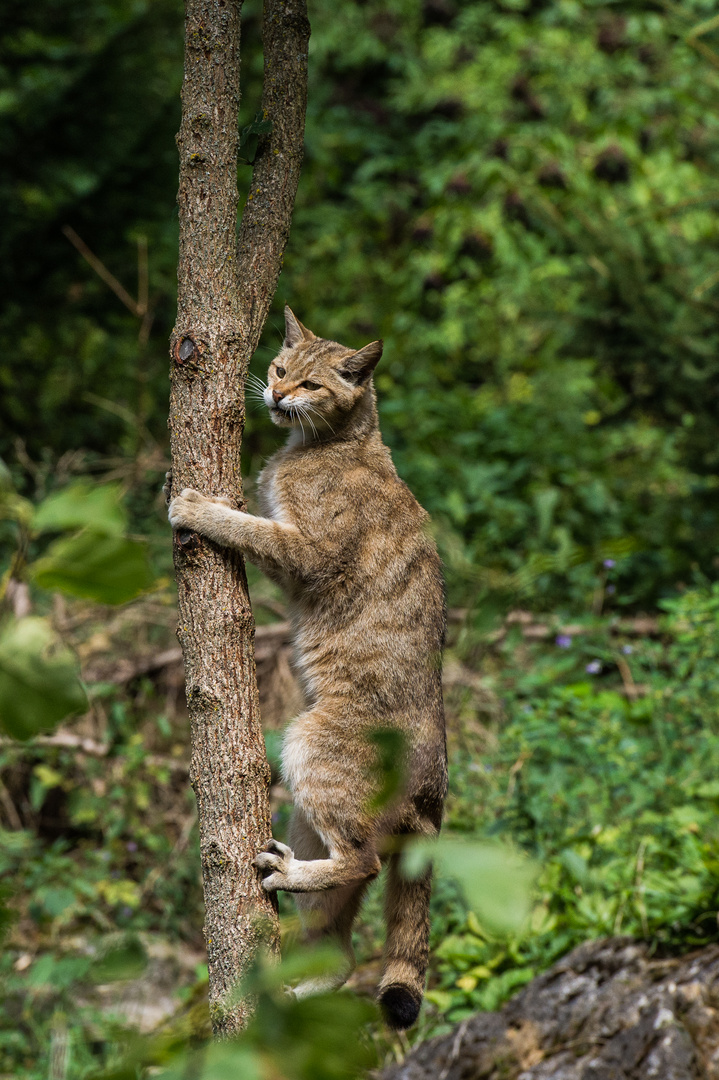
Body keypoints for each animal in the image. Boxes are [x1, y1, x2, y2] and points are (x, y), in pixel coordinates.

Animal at [169, 306, 449, 1028]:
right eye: (277, 367)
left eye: (312, 383)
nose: (274, 393)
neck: (327, 442)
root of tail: (435, 786)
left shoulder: (308, 551)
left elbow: (249, 528)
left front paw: (197, 507)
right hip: (303, 804)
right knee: (341, 947)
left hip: (308, 745)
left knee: (363, 864)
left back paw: (294, 877)